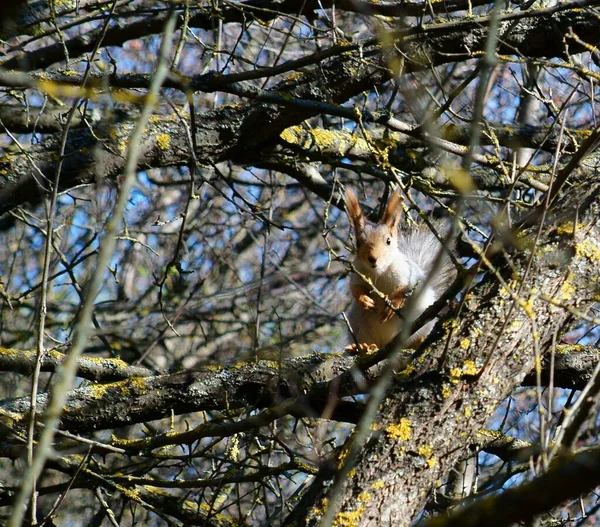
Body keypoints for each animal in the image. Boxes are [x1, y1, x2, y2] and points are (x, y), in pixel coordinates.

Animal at [344, 188, 458, 352]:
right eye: (358, 242)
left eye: (388, 241)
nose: (373, 259)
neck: (378, 273)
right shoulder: (358, 273)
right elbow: (355, 289)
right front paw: (365, 300)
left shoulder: (405, 273)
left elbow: (403, 288)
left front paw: (393, 305)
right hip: (359, 325)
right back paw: (362, 347)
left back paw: (416, 342)